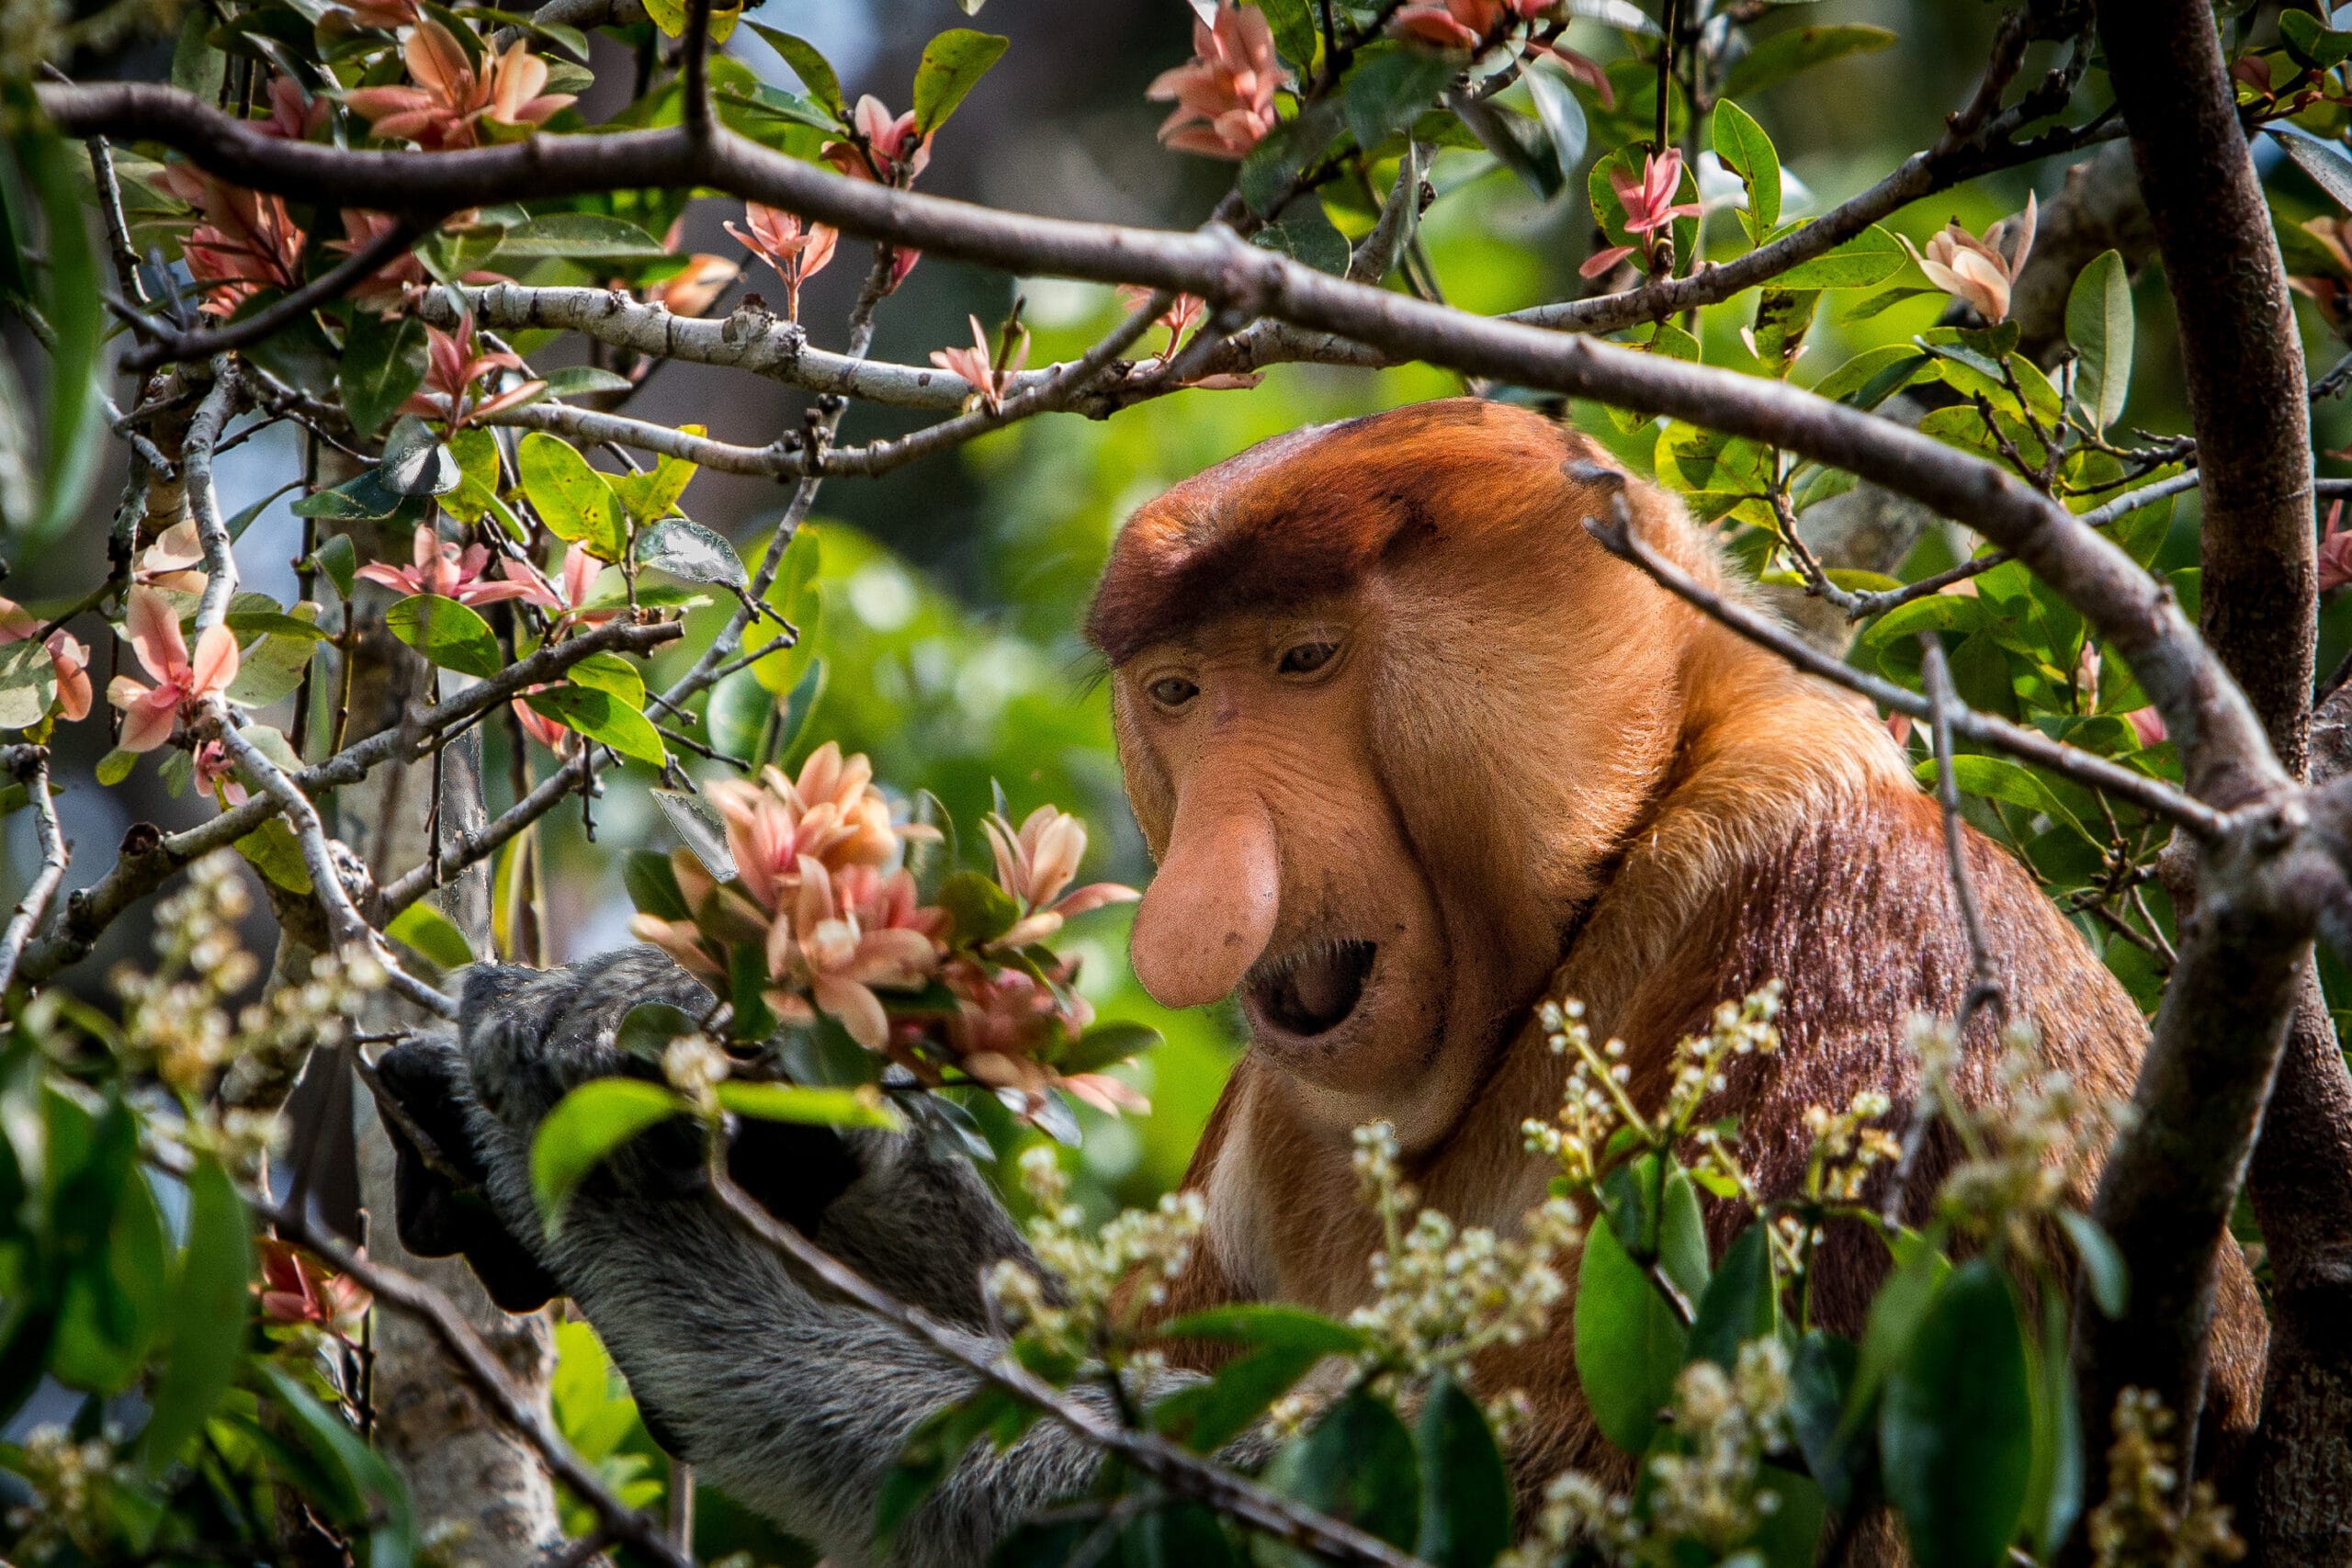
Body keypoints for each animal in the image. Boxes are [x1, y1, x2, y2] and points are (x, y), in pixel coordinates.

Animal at [381, 397, 2266, 1564]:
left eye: (1305, 660)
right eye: (1179, 691)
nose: (1205, 893)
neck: (1590, 899)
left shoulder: (1856, 948)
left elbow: (1599, 1494)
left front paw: (635, 1193)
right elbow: (1122, 1325)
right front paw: (678, 1061)